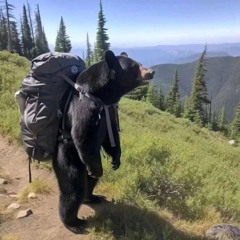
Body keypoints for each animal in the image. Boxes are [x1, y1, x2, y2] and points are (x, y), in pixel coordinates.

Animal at [51, 49, 155, 233]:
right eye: (135, 66)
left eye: (140, 63)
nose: (151, 71)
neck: (101, 95)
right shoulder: (84, 105)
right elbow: (82, 134)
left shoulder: (110, 110)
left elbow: (110, 134)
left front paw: (116, 160)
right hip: (68, 156)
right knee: (73, 188)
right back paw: (73, 222)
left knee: (90, 181)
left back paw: (93, 197)